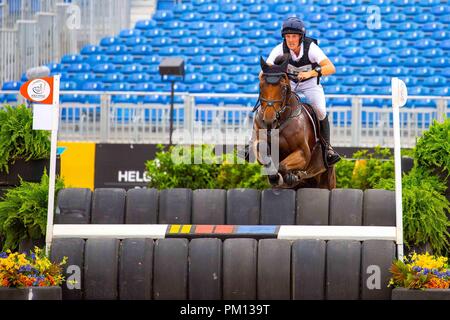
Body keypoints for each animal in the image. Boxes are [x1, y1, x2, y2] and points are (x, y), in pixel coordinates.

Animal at [251, 56, 336, 190]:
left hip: (327, 182)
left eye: (283, 88)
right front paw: (275, 177)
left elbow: (283, 166)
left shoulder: (303, 153)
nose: (269, 120)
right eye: (260, 86)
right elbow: (264, 152)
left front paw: (291, 177)